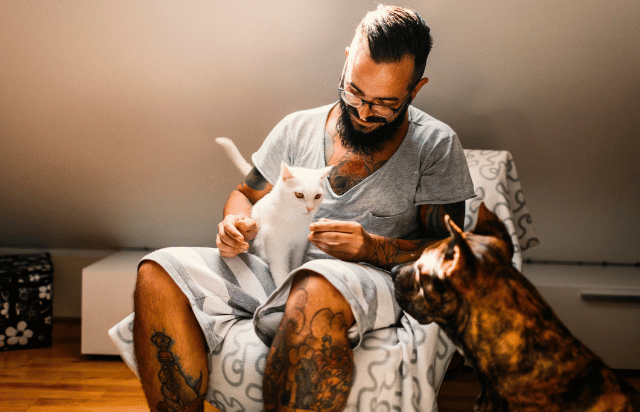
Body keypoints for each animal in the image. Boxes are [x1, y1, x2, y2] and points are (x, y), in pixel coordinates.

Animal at [216, 137, 332, 284]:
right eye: (299, 194)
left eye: (317, 196)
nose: (310, 208)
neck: (293, 219)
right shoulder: (277, 251)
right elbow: (281, 274)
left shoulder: (299, 247)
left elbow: (294, 267)